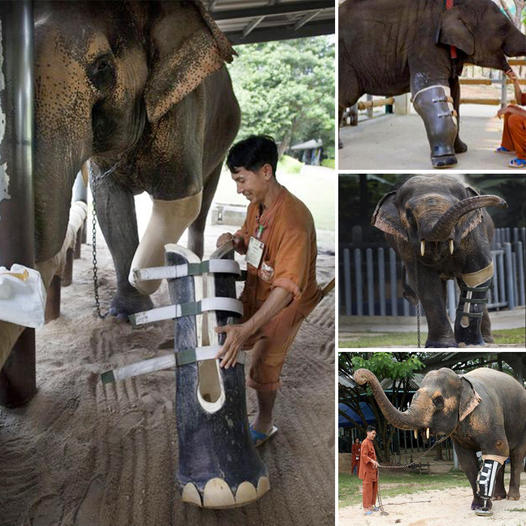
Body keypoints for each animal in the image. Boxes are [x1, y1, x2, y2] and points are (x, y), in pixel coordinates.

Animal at [340, 0, 526, 167]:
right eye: (503, 27)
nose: (512, 74)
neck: (454, 5)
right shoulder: (426, 45)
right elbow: (428, 93)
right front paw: (445, 161)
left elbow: (455, 95)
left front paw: (461, 149)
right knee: (346, 97)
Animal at [354, 370, 526, 516]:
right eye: (414, 396)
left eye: (438, 401)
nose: (360, 378)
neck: (461, 378)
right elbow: (467, 462)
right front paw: (476, 506)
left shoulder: (487, 415)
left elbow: (497, 449)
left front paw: (484, 508)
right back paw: (498, 497)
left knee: (516, 455)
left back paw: (512, 498)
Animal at [374, 176, 510, 350]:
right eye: (409, 216)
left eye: (459, 212)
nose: (503, 203)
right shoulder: (406, 245)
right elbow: (426, 283)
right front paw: (442, 345)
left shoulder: (474, 232)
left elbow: (479, 270)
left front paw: (468, 343)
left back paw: (487, 341)